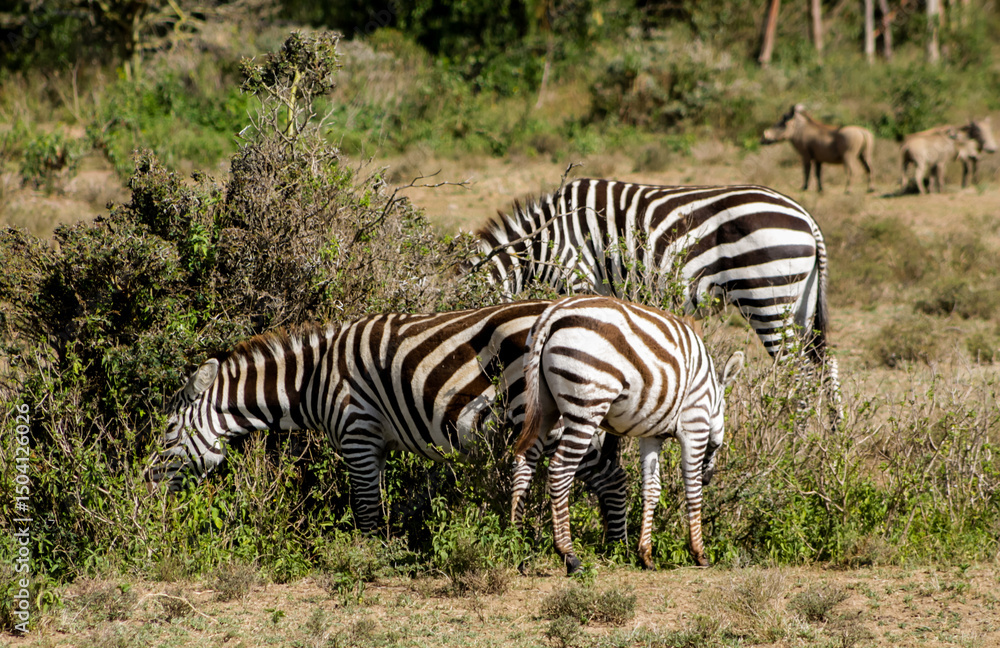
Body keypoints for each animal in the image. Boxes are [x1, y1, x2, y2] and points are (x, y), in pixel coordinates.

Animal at [145, 301, 628, 539]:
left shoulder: (358, 434)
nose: (144, 487)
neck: (313, 380)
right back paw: (610, 543)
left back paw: (614, 547)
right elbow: (373, 507)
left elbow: (366, 512)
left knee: (609, 475)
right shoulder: (374, 446)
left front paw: (368, 563)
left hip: (545, 413)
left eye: (168, 431)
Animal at [472, 178, 840, 420]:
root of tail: (806, 218)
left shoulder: (577, 279)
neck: (542, 245)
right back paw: (829, 438)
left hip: (768, 299)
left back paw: (795, 438)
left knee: (799, 374)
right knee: (825, 366)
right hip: (800, 305)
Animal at [510, 295, 745, 574]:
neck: (711, 396)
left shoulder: (652, 435)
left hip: (543, 404)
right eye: (719, 444)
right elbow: (692, 487)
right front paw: (699, 553)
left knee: (524, 461)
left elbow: (651, 489)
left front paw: (646, 555)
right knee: (559, 469)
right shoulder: (694, 422)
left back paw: (516, 545)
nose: (709, 478)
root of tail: (552, 315)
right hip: (586, 405)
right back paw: (570, 556)